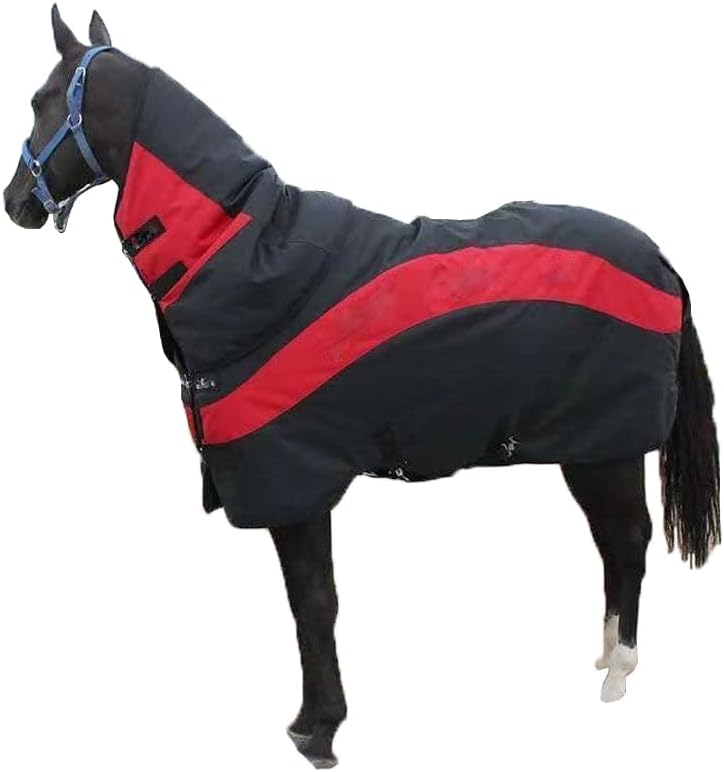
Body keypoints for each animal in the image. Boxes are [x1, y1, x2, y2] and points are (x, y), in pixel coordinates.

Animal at [3, 7, 720, 769]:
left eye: (41, 101)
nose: (15, 203)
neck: (245, 254)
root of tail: (661, 259)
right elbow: (312, 603)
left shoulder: (295, 481)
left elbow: (314, 604)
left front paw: (318, 729)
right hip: (587, 448)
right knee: (615, 544)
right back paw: (609, 656)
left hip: (605, 447)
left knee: (627, 539)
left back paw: (619, 671)